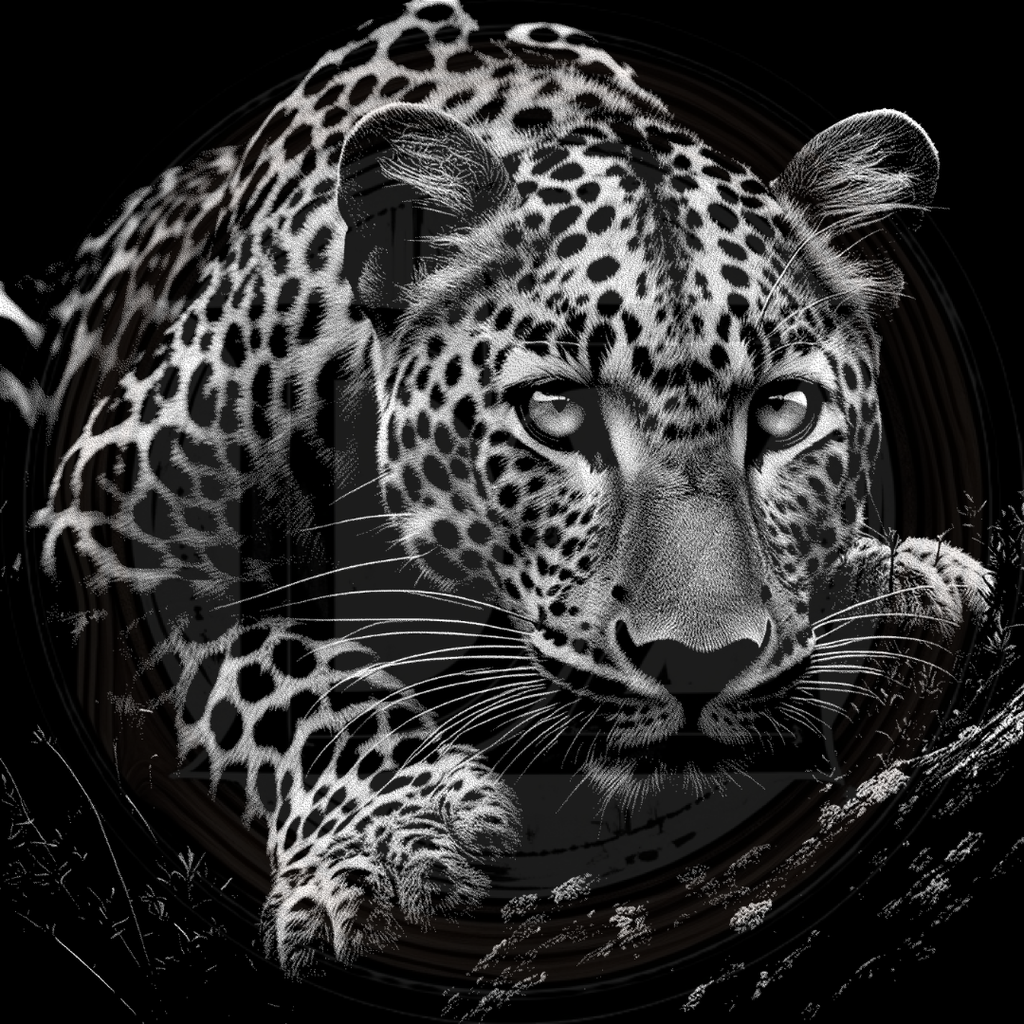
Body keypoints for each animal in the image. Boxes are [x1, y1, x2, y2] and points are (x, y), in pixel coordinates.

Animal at [0, 0, 992, 978]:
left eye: (784, 412)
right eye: (555, 410)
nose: (698, 664)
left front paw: (899, 578)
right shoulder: (110, 519)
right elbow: (282, 676)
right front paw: (391, 836)